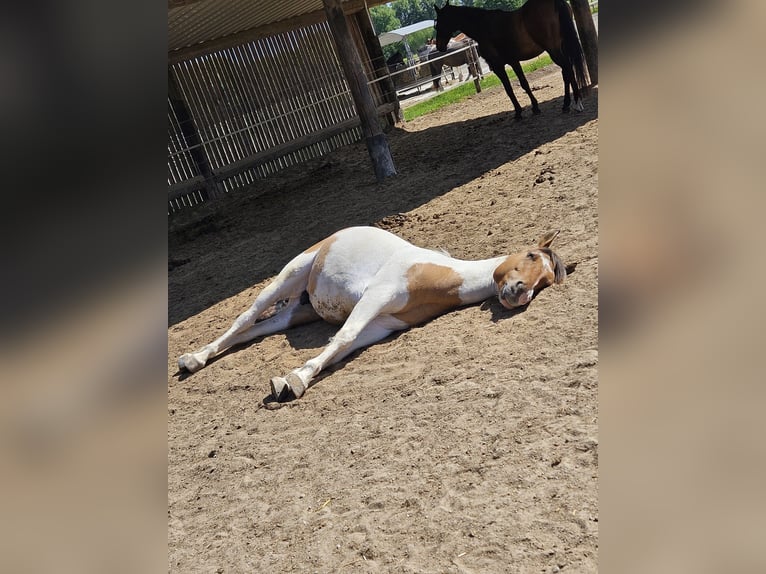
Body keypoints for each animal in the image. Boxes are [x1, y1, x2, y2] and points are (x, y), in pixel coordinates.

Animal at [178, 226, 572, 402]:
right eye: (530, 256)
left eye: (546, 281)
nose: (519, 293)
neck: (431, 273)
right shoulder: (374, 298)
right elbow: (344, 337)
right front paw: (294, 379)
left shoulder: (381, 325)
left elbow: (339, 348)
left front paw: (294, 381)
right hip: (290, 276)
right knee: (244, 319)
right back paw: (191, 360)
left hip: (299, 313)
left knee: (253, 331)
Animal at [434, 0, 589, 119]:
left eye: (439, 22)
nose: (439, 46)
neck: (483, 27)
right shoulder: (514, 61)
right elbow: (524, 83)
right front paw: (535, 107)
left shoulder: (498, 66)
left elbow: (508, 89)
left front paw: (519, 112)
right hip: (561, 48)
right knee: (566, 72)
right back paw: (566, 104)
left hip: (554, 50)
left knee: (567, 69)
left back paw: (576, 102)